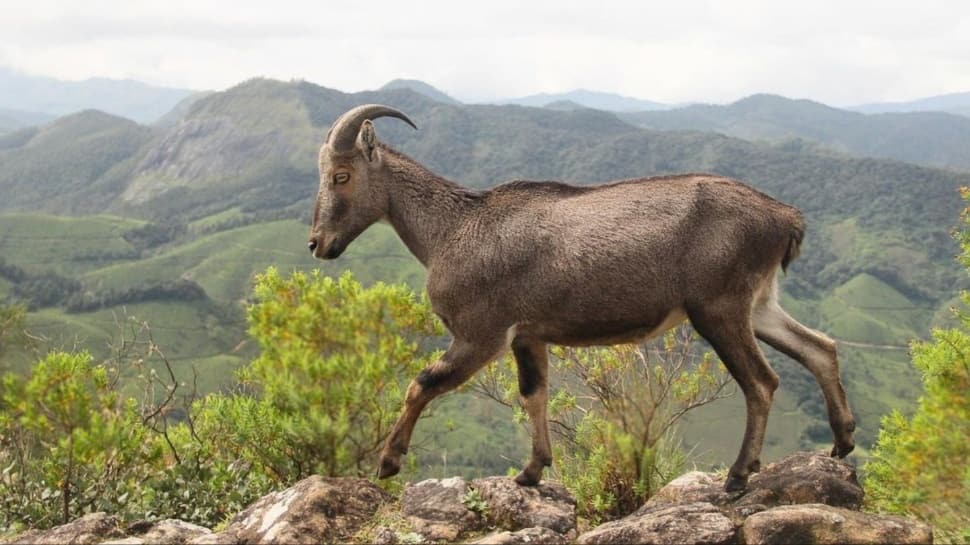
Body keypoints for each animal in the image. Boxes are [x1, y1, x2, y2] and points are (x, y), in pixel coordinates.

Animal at [304, 104, 856, 490]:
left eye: (341, 176)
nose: (317, 244)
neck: (452, 229)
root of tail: (785, 218)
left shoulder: (481, 334)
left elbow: (421, 384)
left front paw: (388, 461)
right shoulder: (527, 337)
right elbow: (534, 394)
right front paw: (531, 471)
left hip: (718, 309)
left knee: (762, 382)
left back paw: (740, 475)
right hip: (757, 304)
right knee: (820, 347)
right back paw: (843, 442)